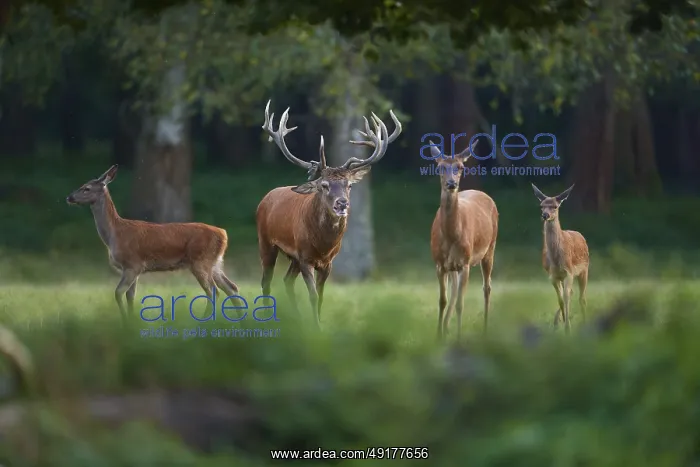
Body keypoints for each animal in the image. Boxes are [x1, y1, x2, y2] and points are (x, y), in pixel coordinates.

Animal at [66, 165, 240, 321]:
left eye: (86, 188)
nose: (69, 197)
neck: (114, 235)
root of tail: (223, 234)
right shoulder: (132, 269)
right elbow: (130, 295)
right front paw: (131, 323)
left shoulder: (133, 264)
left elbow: (118, 292)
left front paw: (125, 322)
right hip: (215, 262)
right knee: (231, 288)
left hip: (200, 260)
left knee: (214, 291)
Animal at [256, 100, 401, 326]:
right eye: (324, 185)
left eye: (349, 185)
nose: (342, 203)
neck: (323, 245)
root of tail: (266, 197)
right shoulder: (305, 257)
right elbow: (313, 295)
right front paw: (316, 328)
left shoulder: (327, 262)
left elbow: (322, 296)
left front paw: (319, 325)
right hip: (266, 242)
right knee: (266, 281)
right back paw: (268, 318)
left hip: (293, 258)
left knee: (287, 281)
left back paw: (297, 320)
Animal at [429, 140, 499, 339]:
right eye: (440, 167)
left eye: (460, 167)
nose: (452, 184)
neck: (450, 235)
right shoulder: (439, 264)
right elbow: (442, 300)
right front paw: (438, 336)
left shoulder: (465, 263)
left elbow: (461, 304)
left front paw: (459, 337)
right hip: (452, 265)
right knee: (454, 291)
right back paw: (446, 328)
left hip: (490, 248)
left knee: (487, 287)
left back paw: (485, 329)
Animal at [531, 183, 589, 333]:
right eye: (541, 206)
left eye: (555, 206)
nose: (545, 215)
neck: (557, 260)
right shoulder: (552, 276)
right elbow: (561, 299)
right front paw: (562, 322)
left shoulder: (569, 272)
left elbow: (566, 297)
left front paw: (568, 328)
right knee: (571, 293)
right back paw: (558, 320)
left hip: (584, 269)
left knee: (582, 298)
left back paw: (584, 323)